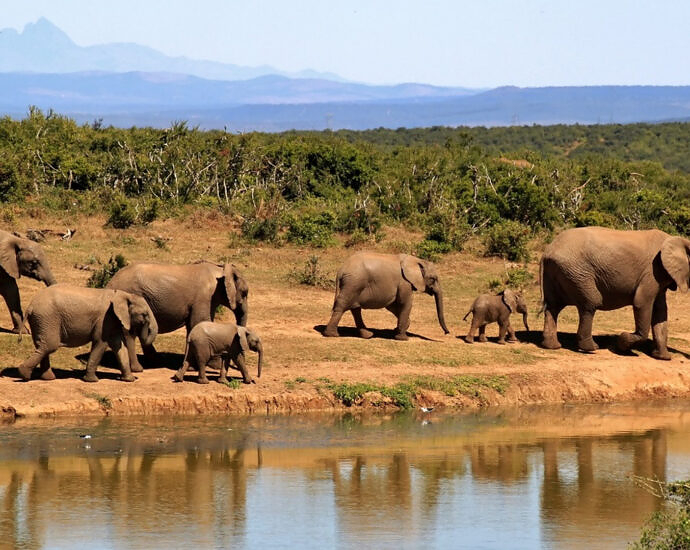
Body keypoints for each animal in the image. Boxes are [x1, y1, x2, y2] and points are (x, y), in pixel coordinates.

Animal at [17, 284, 157, 384]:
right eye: (144, 315)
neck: (123, 295)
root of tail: (30, 306)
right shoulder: (105, 319)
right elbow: (101, 343)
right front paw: (92, 381)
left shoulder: (112, 321)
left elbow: (119, 346)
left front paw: (129, 380)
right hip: (47, 318)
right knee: (49, 346)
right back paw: (24, 374)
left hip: (41, 321)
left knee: (43, 346)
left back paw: (48, 378)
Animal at [106, 262, 249, 370]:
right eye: (245, 292)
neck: (220, 269)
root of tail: (110, 283)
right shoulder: (204, 298)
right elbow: (199, 322)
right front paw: (214, 366)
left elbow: (193, 326)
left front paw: (193, 367)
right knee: (130, 332)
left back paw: (156, 361)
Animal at [324, 254, 452, 340]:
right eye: (433, 279)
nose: (447, 333)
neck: (416, 260)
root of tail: (341, 270)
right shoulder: (404, 282)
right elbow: (405, 303)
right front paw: (402, 338)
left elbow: (392, 305)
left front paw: (398, 329)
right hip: (354, 283)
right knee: (342, 305)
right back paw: (332, 335)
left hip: (354, 285)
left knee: (355, 309)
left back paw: (368, 335)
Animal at [540, 226, 684, 360]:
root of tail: (548, 250)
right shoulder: (652, 272)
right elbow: (641, 302)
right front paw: (623, 344)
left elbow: (660, 311)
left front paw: (664, 358)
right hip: (576, 272)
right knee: (591, 303)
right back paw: (591, 348)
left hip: (558, 272)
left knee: (553, 306)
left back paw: (552, 346)